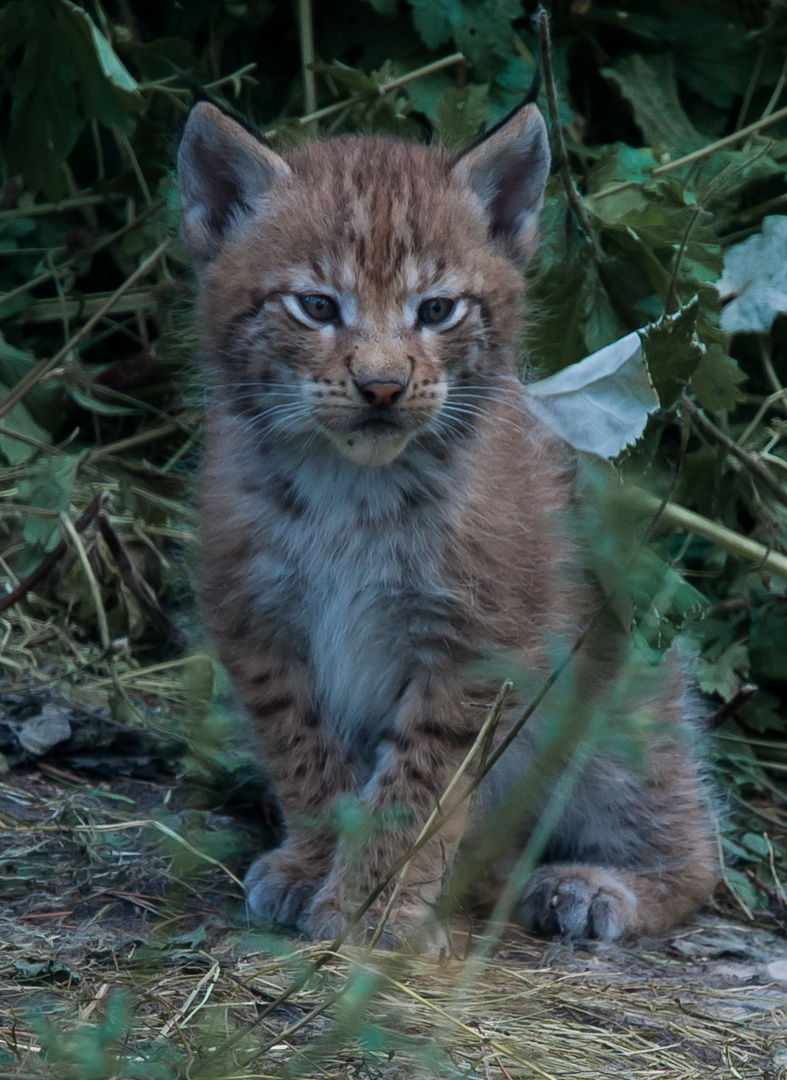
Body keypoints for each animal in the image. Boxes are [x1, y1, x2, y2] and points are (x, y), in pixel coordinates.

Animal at [179, 101, 716, 946]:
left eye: (435, 310)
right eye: (316, 306)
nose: (381, 387)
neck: (352, 487)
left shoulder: (473, 639)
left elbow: (416, 783)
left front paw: (375, 907)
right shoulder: (253, 617)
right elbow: (303, 751)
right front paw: (314, 865)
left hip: (620, 701)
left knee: (698, 850)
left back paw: (596, 886)